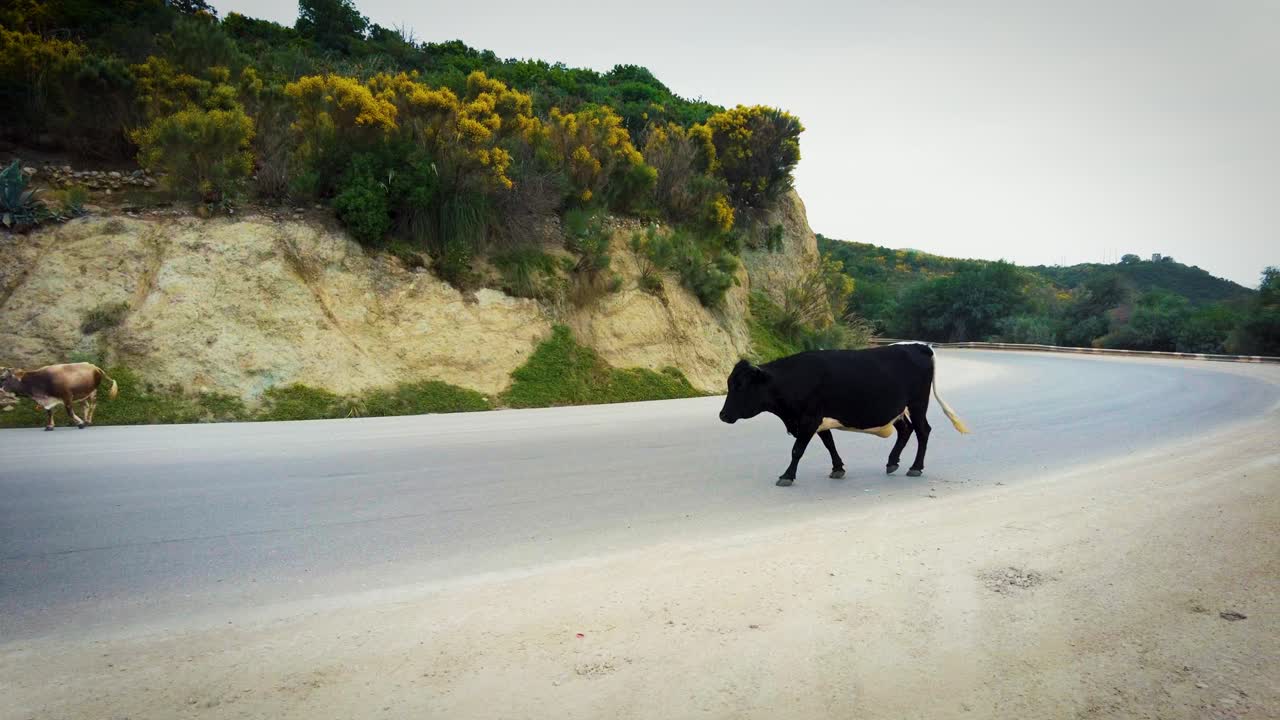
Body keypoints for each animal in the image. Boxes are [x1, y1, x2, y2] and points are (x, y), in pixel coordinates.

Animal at [718, 342, 969, 486]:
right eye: (730, 383)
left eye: (740, 386)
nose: (723, 415)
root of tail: (918, 345)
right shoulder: (817, 419)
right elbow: (829, 443)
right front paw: (838, 468)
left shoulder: (809, 418)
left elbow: (797, 449)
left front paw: (787, 476)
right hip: (897, 409)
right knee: (906, 430)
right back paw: (892, 462)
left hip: (917, 403)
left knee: (922, 431)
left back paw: (915, 467)